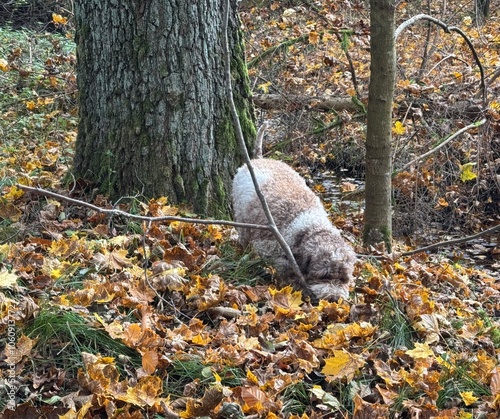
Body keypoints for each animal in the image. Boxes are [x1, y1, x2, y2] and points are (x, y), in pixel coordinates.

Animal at [233, 129, 356, 302]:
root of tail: (259, 159)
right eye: (324, 276)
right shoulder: (267, 246)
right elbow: (285, 268)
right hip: (241, 215)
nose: (334, 298)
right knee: (244, 235)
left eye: (344, 278)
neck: (311, 227)